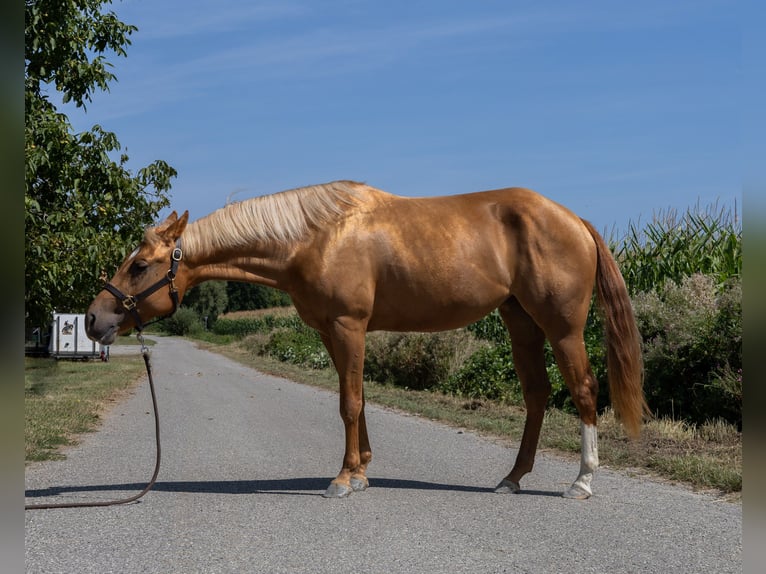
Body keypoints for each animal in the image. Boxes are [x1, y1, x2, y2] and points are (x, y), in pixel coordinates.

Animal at [85, 181, 648, 500]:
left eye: (140, 265)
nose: (92, 319)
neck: (313, 238)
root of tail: (574, 220)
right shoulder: (332, 332)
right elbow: (354, 399)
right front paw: (360, 472)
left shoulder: (348, 326)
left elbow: (350, 403)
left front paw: (342, 481)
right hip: (519, 321)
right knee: (536, 395)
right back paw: (513, 478)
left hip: (562, 329)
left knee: (583, 391)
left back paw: (581, 482)